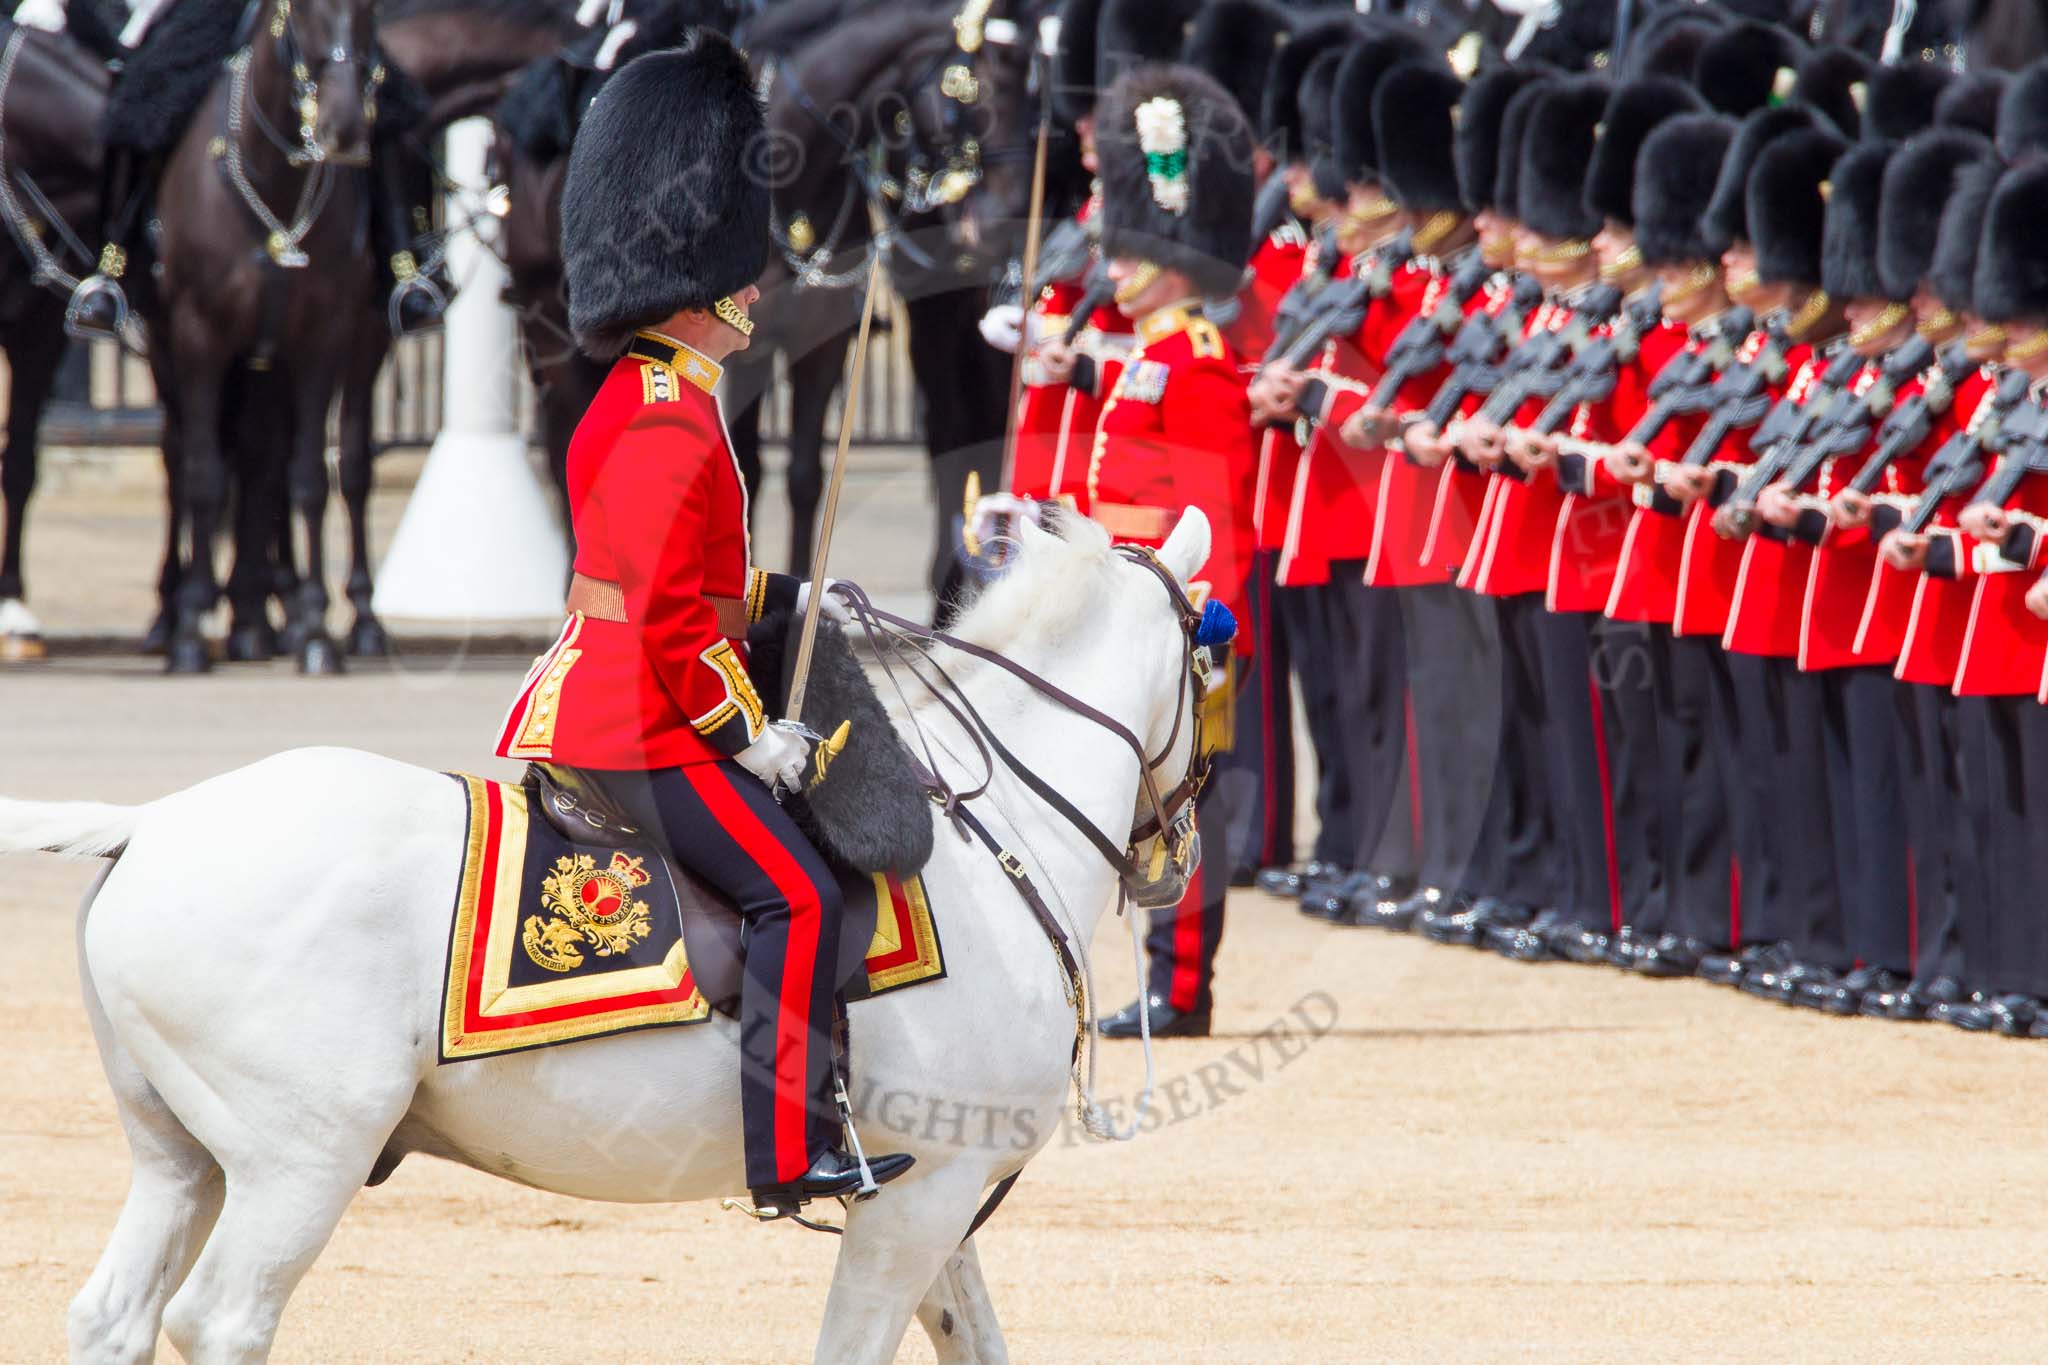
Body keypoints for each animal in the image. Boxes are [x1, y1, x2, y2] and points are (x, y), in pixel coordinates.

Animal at [0, 507, 1204, 1358]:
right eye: (1213, 655)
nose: (1178, 861)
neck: (992, 842)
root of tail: (156, 818)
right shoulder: (922, 1196)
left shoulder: (941, 1204)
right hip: (299, 1164)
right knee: (222, 1322)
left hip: (185, 1160)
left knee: (112, 1316)